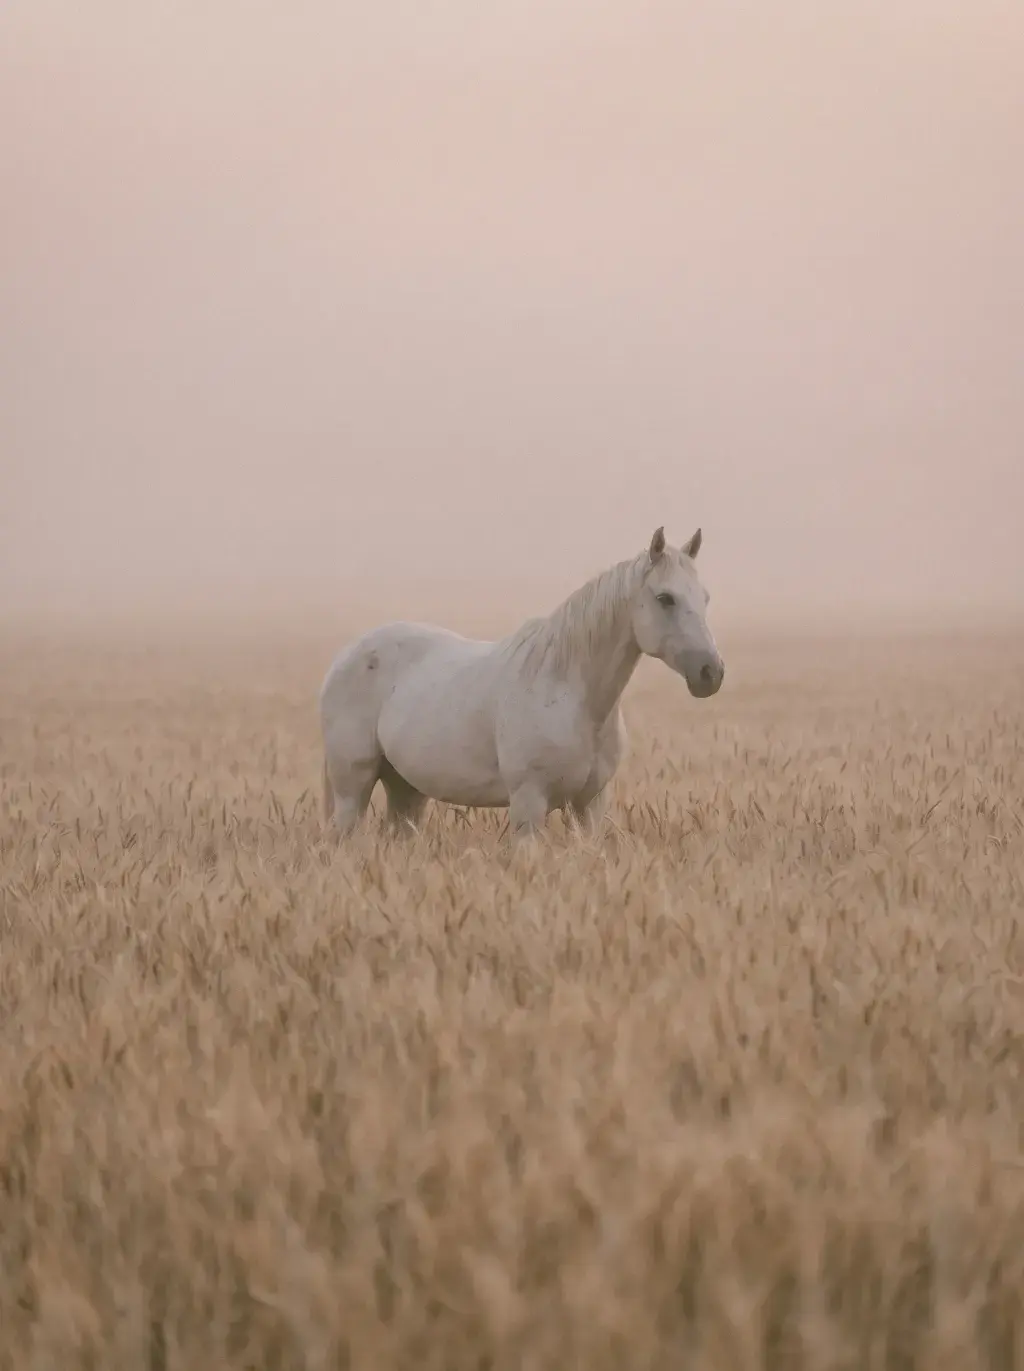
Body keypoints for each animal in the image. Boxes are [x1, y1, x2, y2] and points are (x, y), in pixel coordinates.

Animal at [319, 525, 724, 842]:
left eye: (705, 598)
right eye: (665, 598)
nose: (711, 673)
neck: (572, 695)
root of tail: (344, 657)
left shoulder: (590, 805)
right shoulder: (529, 805)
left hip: (407, 790)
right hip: (352, 790)